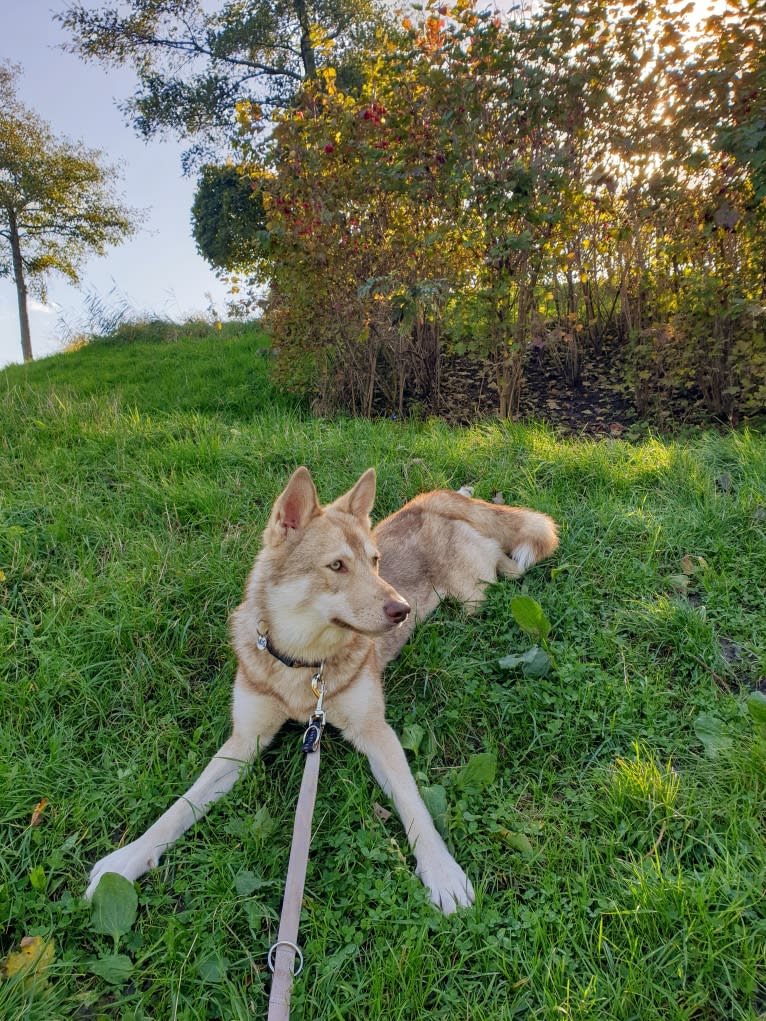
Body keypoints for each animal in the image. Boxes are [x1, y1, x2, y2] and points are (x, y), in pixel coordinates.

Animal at [86, 467, 559, 914]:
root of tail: (434, 500)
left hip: (474, 596)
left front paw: (442, 873)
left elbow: (414, 804)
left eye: (375, 561)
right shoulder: (245, 740)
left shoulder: (374, 731)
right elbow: (179, 807)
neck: (305, 664)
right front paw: (126, 860)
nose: (403, 609)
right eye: (337, 566)